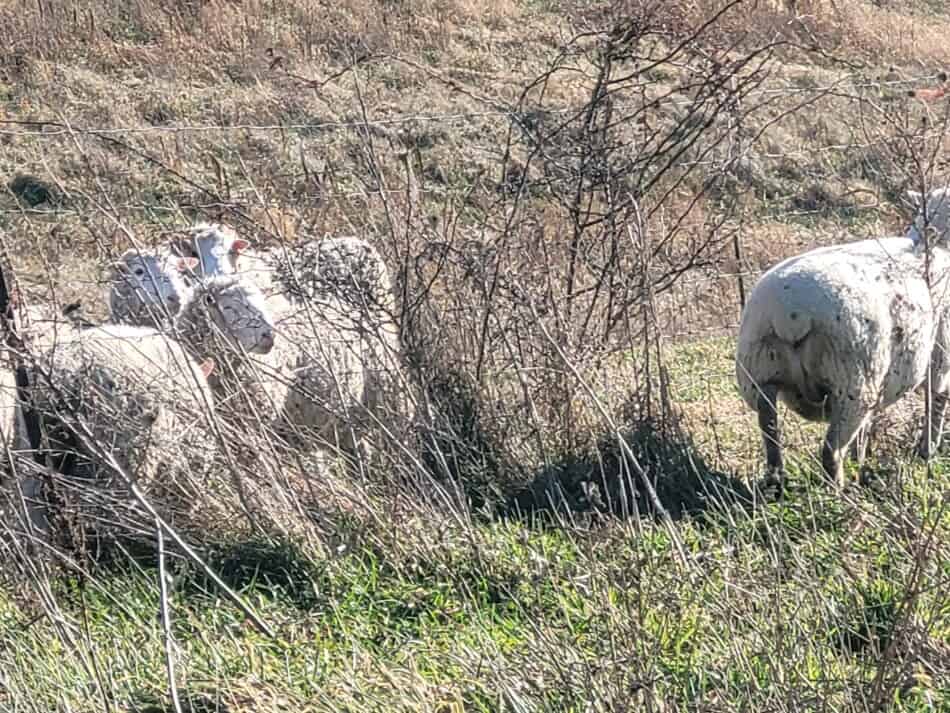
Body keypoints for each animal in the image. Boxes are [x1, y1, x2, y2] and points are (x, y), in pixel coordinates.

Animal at [736, 229, 950, 490]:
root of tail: (792, 314)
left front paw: (860, 460)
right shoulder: (941, 357)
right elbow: (937, 403)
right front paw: (927, 453)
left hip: (759, 375)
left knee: (770, 434)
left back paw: (776, 483)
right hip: (851, 385)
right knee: (831, 450)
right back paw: (839, 491)